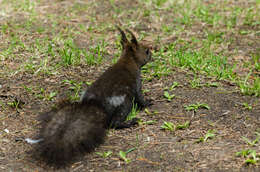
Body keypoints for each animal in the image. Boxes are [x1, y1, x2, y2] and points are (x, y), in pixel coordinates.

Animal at [34, 26, 152, 167]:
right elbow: (140, 98)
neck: (128, 60)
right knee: (114, 123)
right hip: (125, 103)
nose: (152, 53)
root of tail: (96, 104)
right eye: (146, 51)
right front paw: (148, 102)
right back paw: (130, 122)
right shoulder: (137, 82)